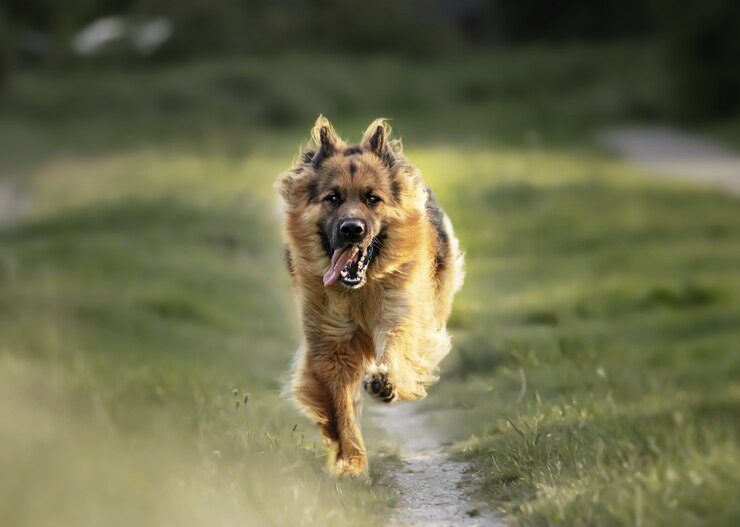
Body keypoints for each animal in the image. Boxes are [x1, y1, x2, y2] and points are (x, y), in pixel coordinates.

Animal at [276, 116, 462, 478]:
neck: (358, 292)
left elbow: (397, 346)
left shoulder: (401, 313)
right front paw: (352, 461)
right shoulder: (330, 344)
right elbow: (340, 406)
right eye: (333, 198)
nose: (352, 229)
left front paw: (385, 381)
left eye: (372, 198)